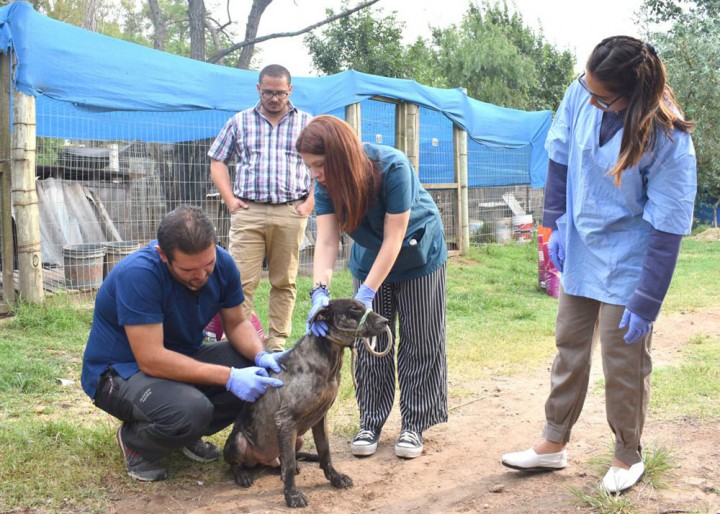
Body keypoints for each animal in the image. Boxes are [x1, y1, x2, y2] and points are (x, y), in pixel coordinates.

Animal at [224, 298, 388, 506]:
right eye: (354, 309)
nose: (386, 321)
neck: (326, 360)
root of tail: (264, 460)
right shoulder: (286, 421)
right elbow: (288, 467)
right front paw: (292, 495)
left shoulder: (320, 419)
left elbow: (325, 453)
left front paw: (335, 477)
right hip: (239, 441)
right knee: (237, 464)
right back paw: (243, 475)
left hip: (298, 438)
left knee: (285, 461)